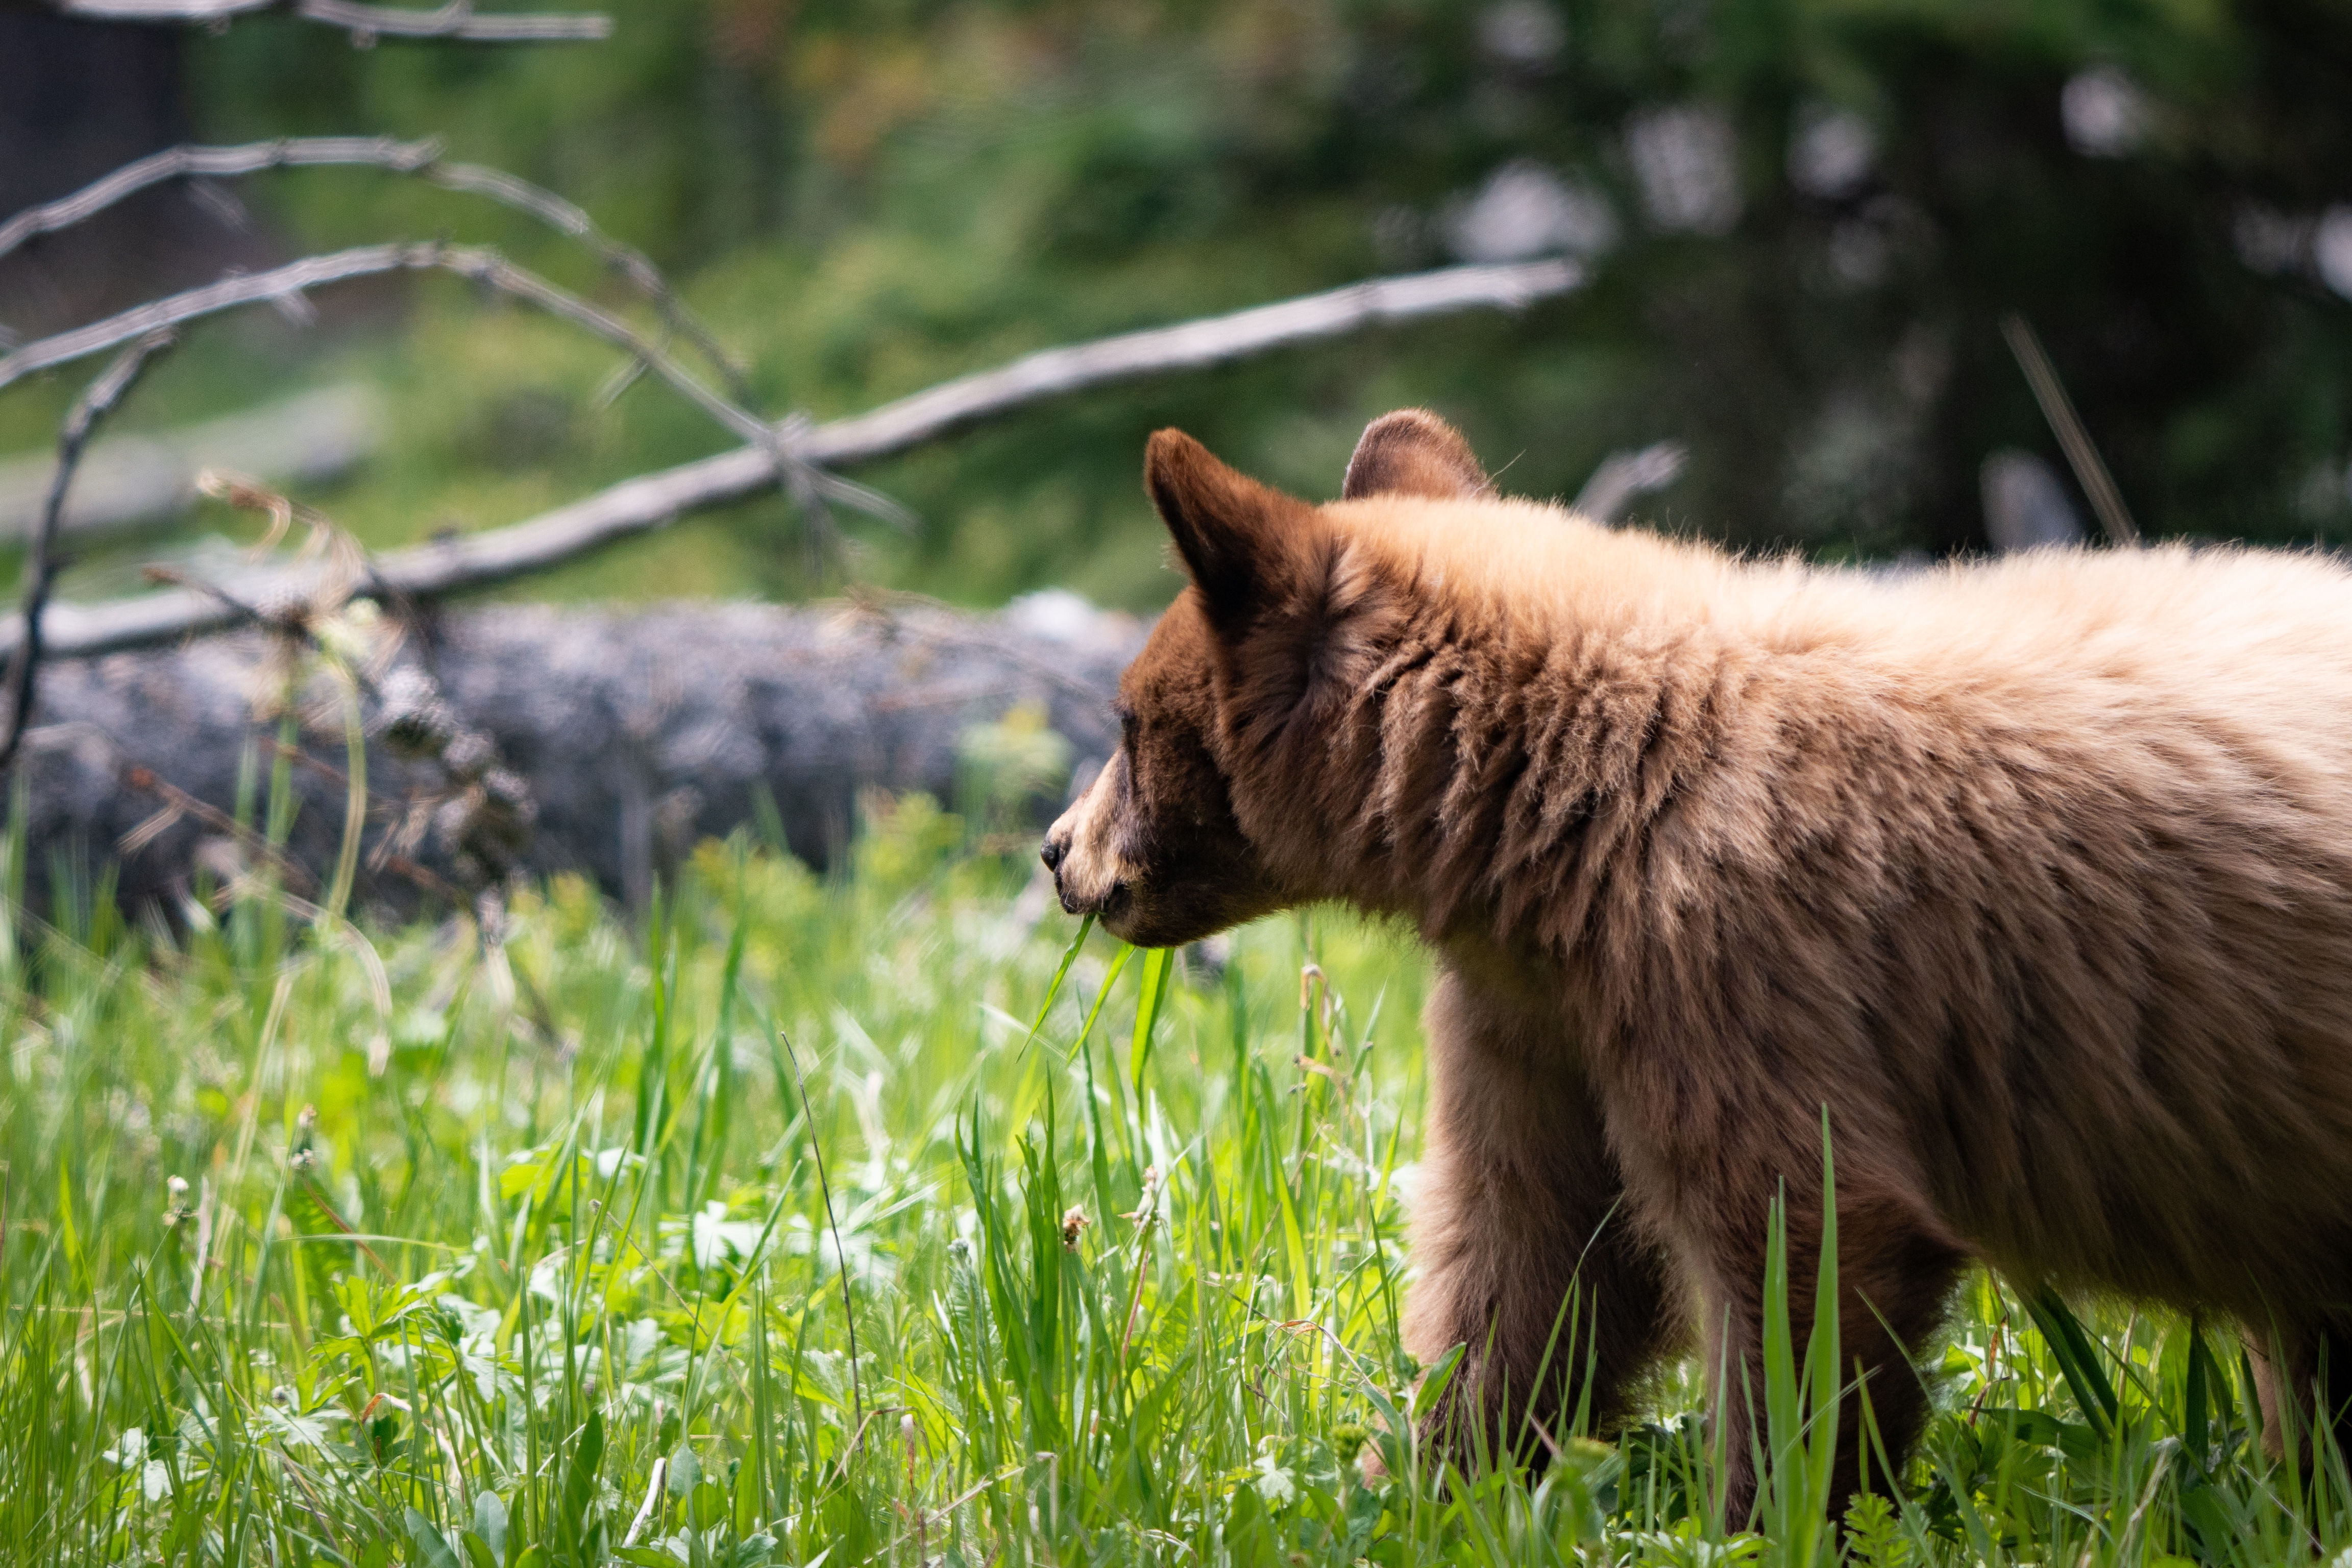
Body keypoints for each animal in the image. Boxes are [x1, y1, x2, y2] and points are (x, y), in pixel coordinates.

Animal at [1041, 408, 2352, 1519]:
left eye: (1123, 719)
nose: (1057, 852)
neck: (1573, 800)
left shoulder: (1731, 958)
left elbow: (1804, 1248)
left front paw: (1769, 1519)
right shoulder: (1544, 1012)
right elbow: (1531, 1261)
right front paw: (1414, 1488)